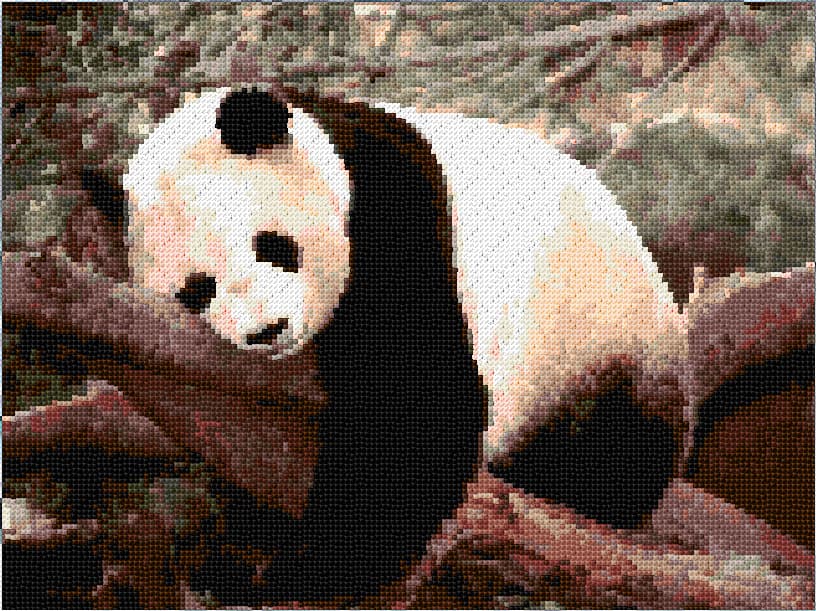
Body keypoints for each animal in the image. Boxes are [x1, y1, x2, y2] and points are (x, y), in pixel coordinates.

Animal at [123, 86, 682, 602]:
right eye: (198, 289)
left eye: (272, 245)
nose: (268, 331)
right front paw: (237, 550)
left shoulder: (392, 207)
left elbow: (417, 401)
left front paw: (305, 568)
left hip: (591, 330)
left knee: (612, 448)